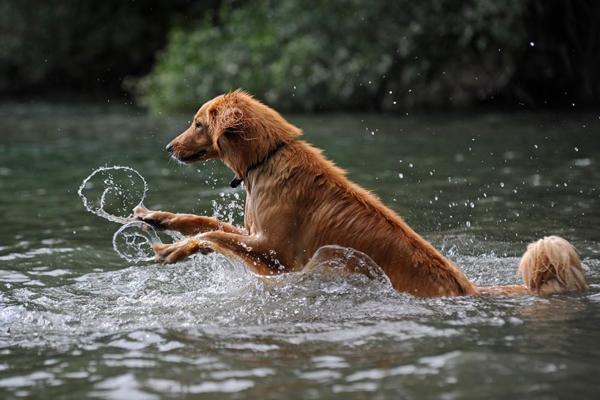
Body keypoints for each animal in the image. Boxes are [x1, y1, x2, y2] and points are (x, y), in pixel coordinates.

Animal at [134, 90, 588, 296]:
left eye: (197, 123)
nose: (168, 148)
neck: (268, 157)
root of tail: (469, 292)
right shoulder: (257, 237)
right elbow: (205, 223)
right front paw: (157, 218)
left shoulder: (278, 257)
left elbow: (212, 234)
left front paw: (170, 250)